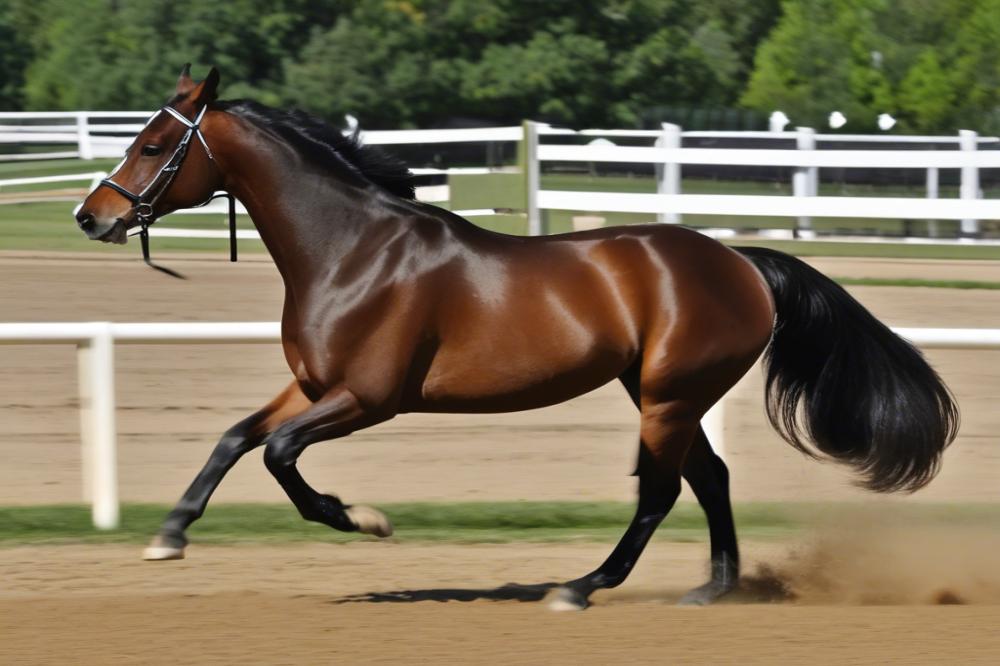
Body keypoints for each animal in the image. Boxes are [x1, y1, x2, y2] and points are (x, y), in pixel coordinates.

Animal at [74, 65, 956, 608]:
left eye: (155, 144)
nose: (93, 215)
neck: (352, 248)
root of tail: (739, 259)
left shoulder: (369, 398)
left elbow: (281, 456)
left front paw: (361, 518)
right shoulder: (315, 386)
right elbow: (234, 439)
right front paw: (169, 538)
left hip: (667, 397)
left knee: (662, 489)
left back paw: (583, 586)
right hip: (662, 392)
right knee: (709, 479)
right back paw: (712, 587)